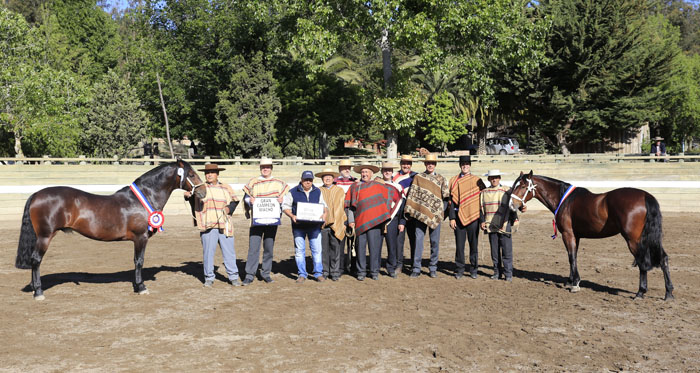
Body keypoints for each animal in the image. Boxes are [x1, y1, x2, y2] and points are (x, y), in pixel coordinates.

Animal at [14, 158, 205, 300]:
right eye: (192, 174)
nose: (203, 192)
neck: (143, 198)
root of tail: (36, 194)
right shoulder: (140, 238)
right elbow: (139, 261)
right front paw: (141, 287)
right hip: (45, 237)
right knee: (36, 260)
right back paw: (39, 292)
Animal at [508, 171, 672, 300]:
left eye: (523, 186)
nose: (512, 205)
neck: (565, 200)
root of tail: (645, 196)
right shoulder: (576, 236)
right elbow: (573, 256)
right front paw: (570, 281)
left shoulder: (568, 234)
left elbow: (571, 257)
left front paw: (575, 284)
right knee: (663, 259)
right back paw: (668, 293)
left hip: (633, 240)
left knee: (642, 262)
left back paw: (640, 293)